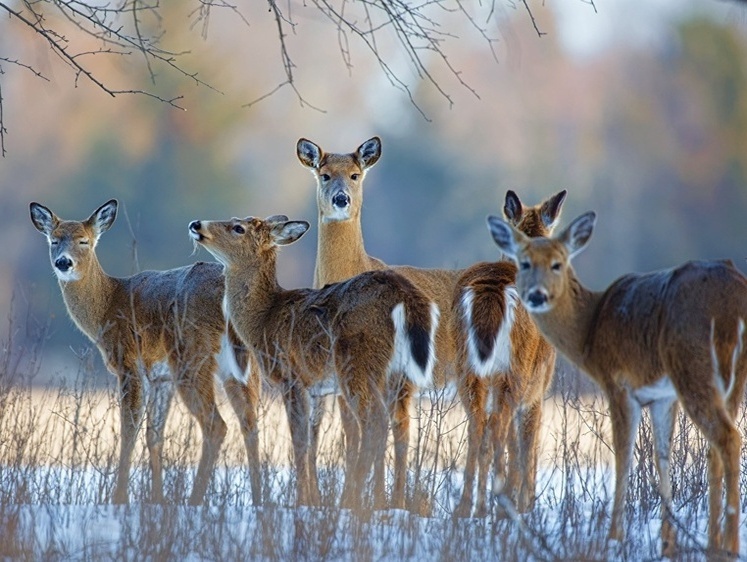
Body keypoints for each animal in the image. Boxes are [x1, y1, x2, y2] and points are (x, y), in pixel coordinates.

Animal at [29, 200, 262, 504]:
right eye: (54, 240)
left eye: (84, 241)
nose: (63, 262)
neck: (106, 307)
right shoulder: (161, 377)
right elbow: (154, 434)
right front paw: (156, 499)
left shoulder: (129, 362)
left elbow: (129, 429)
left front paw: (120, 498)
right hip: (243, 366)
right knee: (250, 422)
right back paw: (260, 501)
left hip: (192, 354)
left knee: (217, 425)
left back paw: (195, 501)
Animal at [187, 211, 442, 508]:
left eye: (238, 228)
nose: (196, 224)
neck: (264, 319)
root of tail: (406, 297)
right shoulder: (314, 387)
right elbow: (310, 442)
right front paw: (312, 500)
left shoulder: (290, 375)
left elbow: (298, 440)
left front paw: (300, 501)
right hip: (400, 374)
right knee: (401, 425)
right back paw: (394, 503)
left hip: (358, 361)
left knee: (375, 422)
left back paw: (353, 499)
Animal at [450, 188, 568, 516]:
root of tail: (491, 290)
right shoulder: (538, 389)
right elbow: (527, 444)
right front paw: (527, 501)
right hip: (515, 370)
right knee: (499, 426)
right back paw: (501, 504)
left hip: (467, 369)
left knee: (479, 425)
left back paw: (469, 506)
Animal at [490, 209, 747, 556]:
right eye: (524, 263)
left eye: (557, 263)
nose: (536, 295)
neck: (590, 328)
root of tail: (730, 304)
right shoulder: (662, 395)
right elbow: (662, 456)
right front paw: (667, 543)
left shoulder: (618, 382)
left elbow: (622, 455)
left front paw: (614, 537)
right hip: (733, 377)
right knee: (716, 446)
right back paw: (713, 544)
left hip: (692, 364)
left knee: (728, 438)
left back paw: (728, 544)